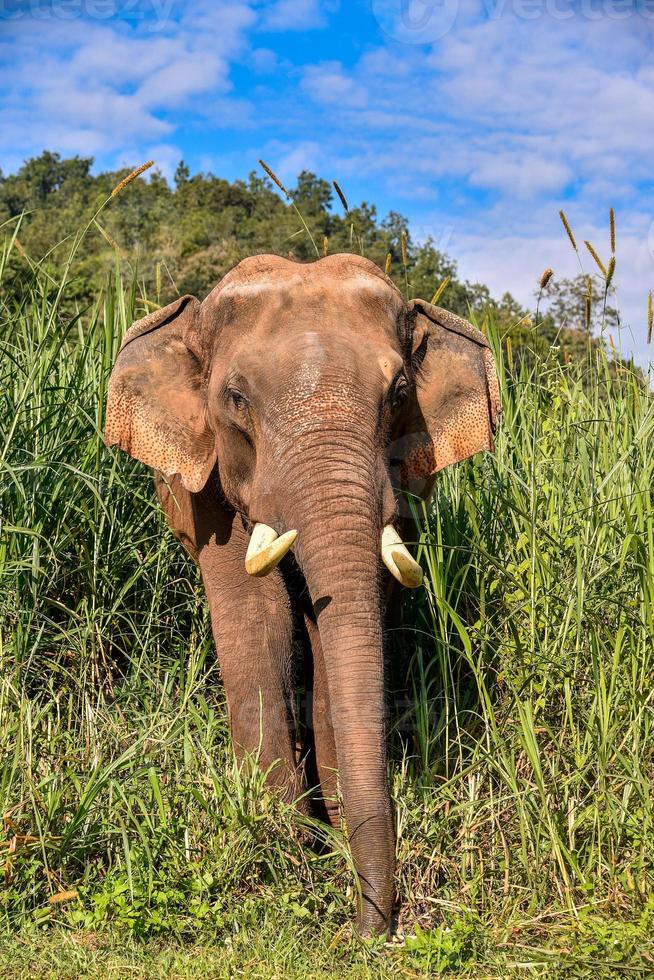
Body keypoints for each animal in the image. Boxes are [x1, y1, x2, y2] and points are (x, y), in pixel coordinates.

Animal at [104, 253, 502, 936]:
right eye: (235, 399)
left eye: (400, 395)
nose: (374, 929)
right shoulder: (211, 491)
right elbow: (256, 616)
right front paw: (287, 847)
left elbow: (342, 619)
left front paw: (333, 835)